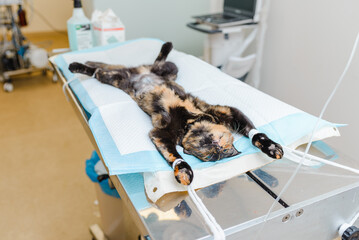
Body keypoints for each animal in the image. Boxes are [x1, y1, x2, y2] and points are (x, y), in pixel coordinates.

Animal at [68, 42, 284, 186]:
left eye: (216, 154)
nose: (216, 147)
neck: (190, 122)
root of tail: (138, 71)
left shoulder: (160, 133)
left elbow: (256, 134)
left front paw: (270, 147)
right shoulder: (223, 111)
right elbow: (173, 155)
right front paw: (184, 171)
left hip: (145, 73)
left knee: (109, 69)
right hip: (148, 73)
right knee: (99, 70)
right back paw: (76, 65)